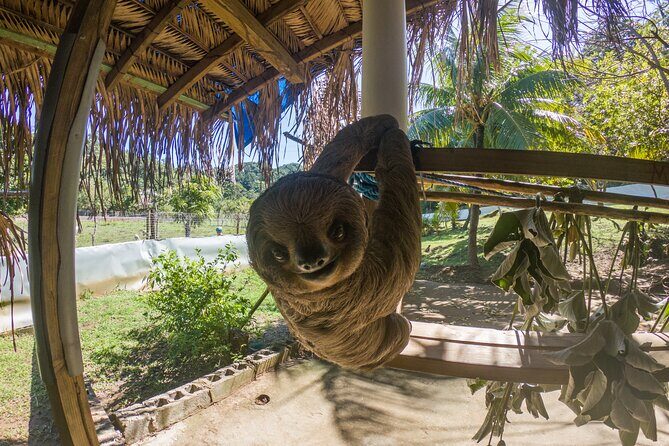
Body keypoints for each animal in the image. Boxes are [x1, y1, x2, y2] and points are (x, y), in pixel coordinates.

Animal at [246, 115, 421, 370]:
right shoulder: (376, 279)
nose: (311, 261)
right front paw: (396, 137)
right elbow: (401, 226)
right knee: (401, 329)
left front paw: (382, 122)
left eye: (337, 231)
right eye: (278, 253)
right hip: (387, 344)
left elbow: (334, 159)